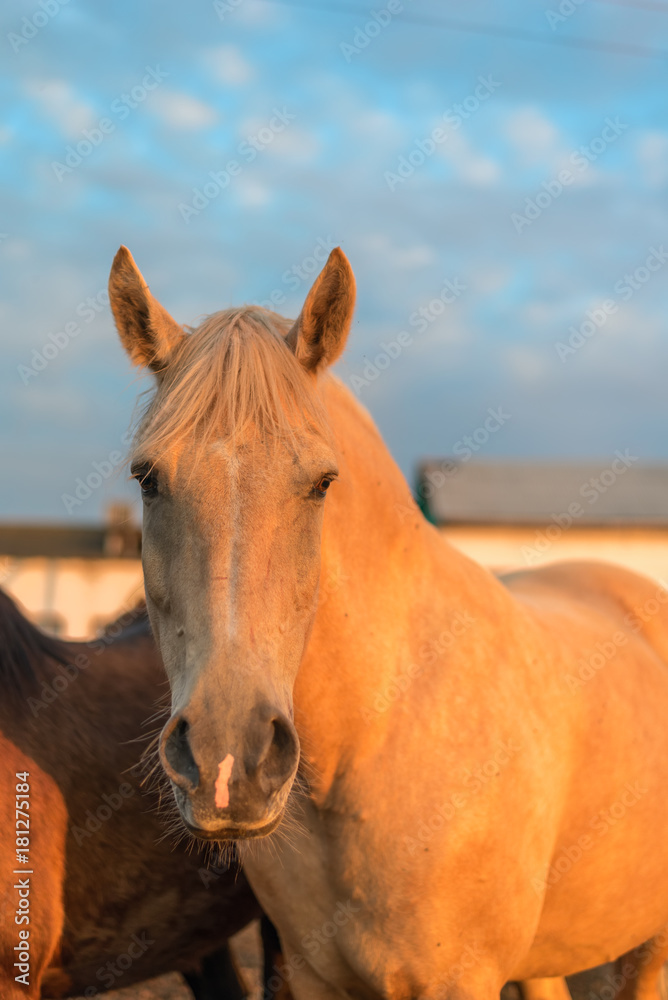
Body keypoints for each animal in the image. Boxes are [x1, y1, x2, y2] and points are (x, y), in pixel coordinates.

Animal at [111, 244, 668, 1000]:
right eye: (147, 479)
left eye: (321, 484)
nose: (229, 761)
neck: (376, 734)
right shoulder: (314, 974)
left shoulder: (461, 979)